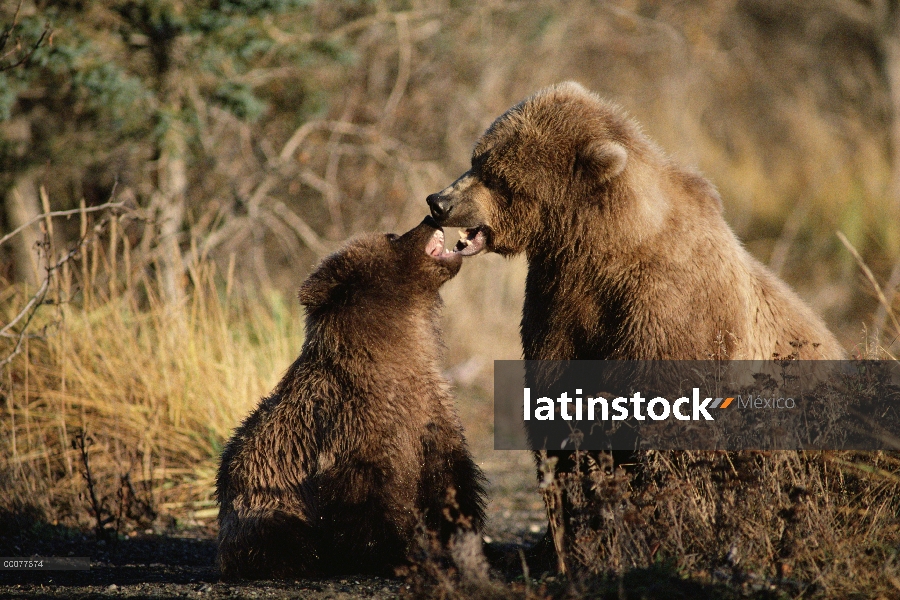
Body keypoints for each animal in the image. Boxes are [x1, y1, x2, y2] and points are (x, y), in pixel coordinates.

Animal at [214, 218, 486, 580]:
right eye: (392, 236)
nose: (430, 217)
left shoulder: (431, 414)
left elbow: (451, 480)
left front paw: (463, 537)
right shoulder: (350, 427)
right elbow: (363, 501)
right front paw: (395, 555)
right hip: (258, 500)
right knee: (278, 534)